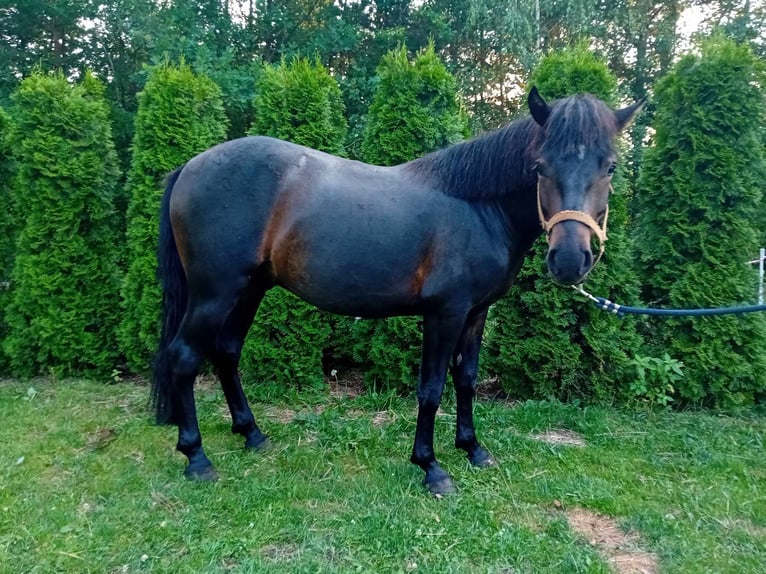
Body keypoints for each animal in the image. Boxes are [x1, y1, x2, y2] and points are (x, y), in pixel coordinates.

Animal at [150, 88, 640, 498]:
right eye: (540, 166)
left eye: (610, 166)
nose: (570, 260)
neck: (477, 206)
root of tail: (190, 166)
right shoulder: (445, 313)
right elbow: (431, 389)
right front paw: (432, 467)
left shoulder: (477, 313)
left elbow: (467, 379)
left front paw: (473, 449)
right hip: (215, 293)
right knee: (184, 357)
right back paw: (196, 457)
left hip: (249, 290)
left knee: (226, 352)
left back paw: (252, 434)